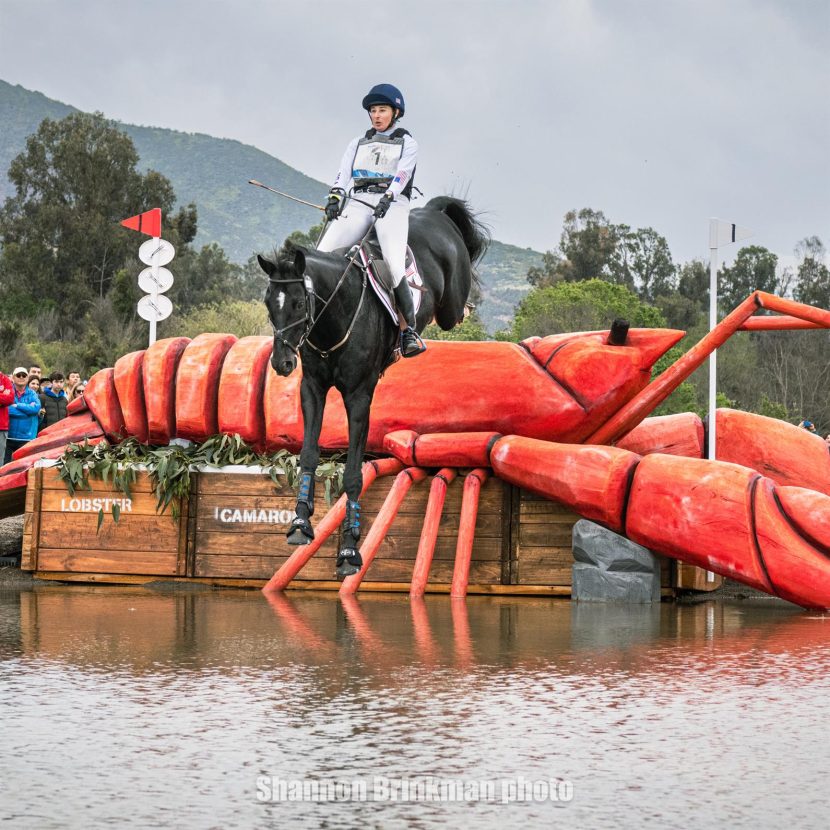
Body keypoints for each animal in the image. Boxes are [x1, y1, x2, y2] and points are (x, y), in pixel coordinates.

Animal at [260, 195, 490, 580]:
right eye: (268, 303)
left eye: (298, 302)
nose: (282, 363)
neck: (333, 318)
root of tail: (435, 213)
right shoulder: (313, 388)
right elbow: (308, 454)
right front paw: (300, 523)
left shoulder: (358, 397)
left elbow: (354, 473)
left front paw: (350, 550)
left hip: (449, 305)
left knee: (457, 310)